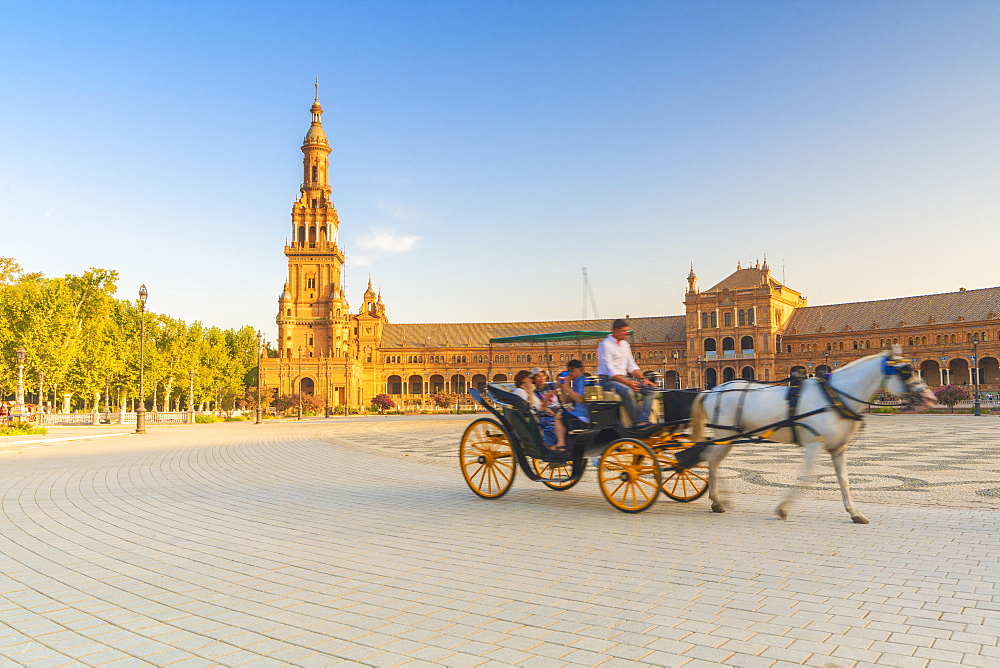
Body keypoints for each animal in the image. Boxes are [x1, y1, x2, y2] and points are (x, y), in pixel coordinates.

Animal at [688, 348, 936, 524]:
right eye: (905, 371)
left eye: (915, 369)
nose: (931, 398)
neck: (835, 397)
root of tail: (711, 390)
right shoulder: (813, 445)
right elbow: (807, 478)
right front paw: (783, 508)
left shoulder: (839, 448)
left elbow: (844, 479)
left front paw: (854, 512)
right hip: (725, 433)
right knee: (711, 460)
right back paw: (719, 499)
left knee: (709, 459)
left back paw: (717, 499)